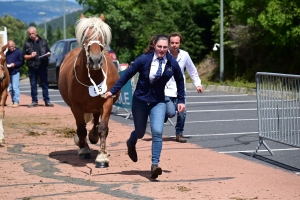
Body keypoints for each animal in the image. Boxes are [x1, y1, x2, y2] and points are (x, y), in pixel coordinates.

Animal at [58, 14, 120, 167]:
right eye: (85, 35)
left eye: (102, 35)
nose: (95, 60)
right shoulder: (76, 106)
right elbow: (81, 128)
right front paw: (84, 149)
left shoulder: (107, 101)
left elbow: (103, 128)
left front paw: (102, 157)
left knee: (96, 120)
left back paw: (94, 137)